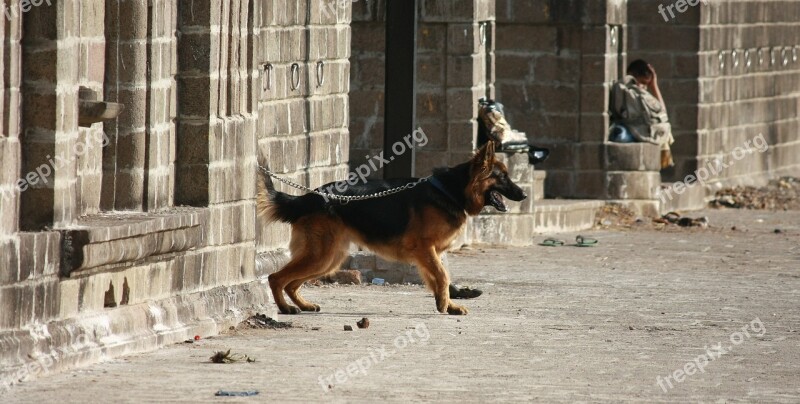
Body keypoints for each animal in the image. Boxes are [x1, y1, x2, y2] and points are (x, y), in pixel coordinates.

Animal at [256, 142, 524, 316]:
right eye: (502, 177)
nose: (524, 195)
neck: (451, 190)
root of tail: (309, 197)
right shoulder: (425, 249)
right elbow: (443, 276)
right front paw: (445, 304)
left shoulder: (429, 254)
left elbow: (437, 278)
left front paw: (446, 305)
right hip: (321, 256)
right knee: (275, 277)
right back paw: (285, 308)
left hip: (329, 259)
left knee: (290, 283)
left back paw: (303, 305)